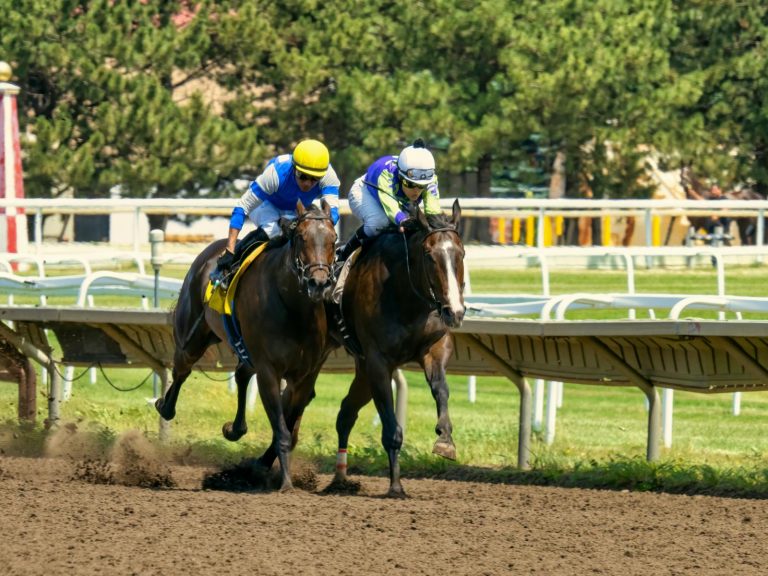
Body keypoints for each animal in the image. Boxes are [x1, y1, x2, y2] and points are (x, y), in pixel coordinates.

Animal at [155, 199, 336, 490]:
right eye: (300, 237)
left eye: (333, 239)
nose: (318, 282)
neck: (294, 307)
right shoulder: (269, 370)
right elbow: (282, 431)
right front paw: (286, 483)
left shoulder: (306, 373)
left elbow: (288, 425)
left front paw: (265, 469)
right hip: (193, 334)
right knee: (182, 368)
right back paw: (165, 405)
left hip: (242, 345)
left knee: (240, 374)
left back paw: (234, 429)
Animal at [328, 200, 462, 498]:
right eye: (429, 256)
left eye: (461, 254)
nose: (455, 312)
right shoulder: (378, 362)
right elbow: (391, 427)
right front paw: (396, 486)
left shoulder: (434, 347)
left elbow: (442, 389)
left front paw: (445, 440)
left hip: (362, 370)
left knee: (345, 413)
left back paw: (340, 478)